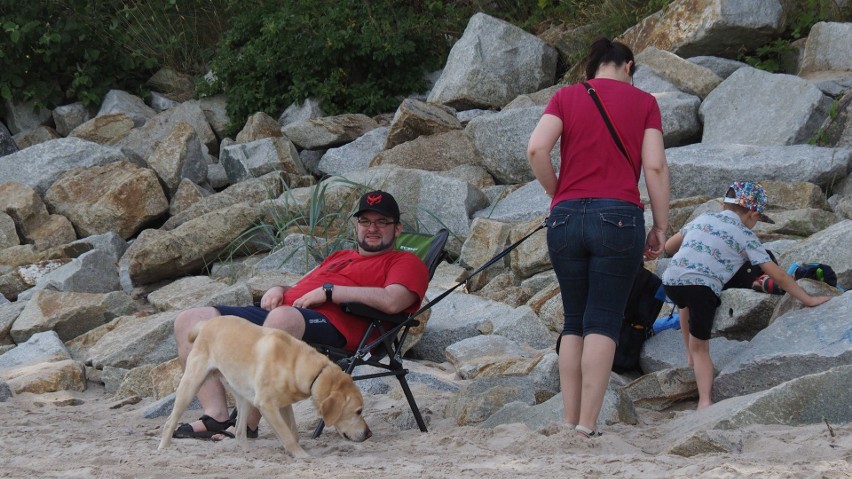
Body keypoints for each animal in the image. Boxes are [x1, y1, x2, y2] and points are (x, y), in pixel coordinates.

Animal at [158, 316, 372, 458]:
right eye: (358, 411)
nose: (369, 434)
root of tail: (207, 323)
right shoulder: (267, 405)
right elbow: (287, 434)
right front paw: (302, 456)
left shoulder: (284, 405)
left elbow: (293, 432)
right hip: (191, 385)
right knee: (170, 421)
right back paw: (163, 448)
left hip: (243, 398)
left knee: (239, 431)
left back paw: (249, 455)